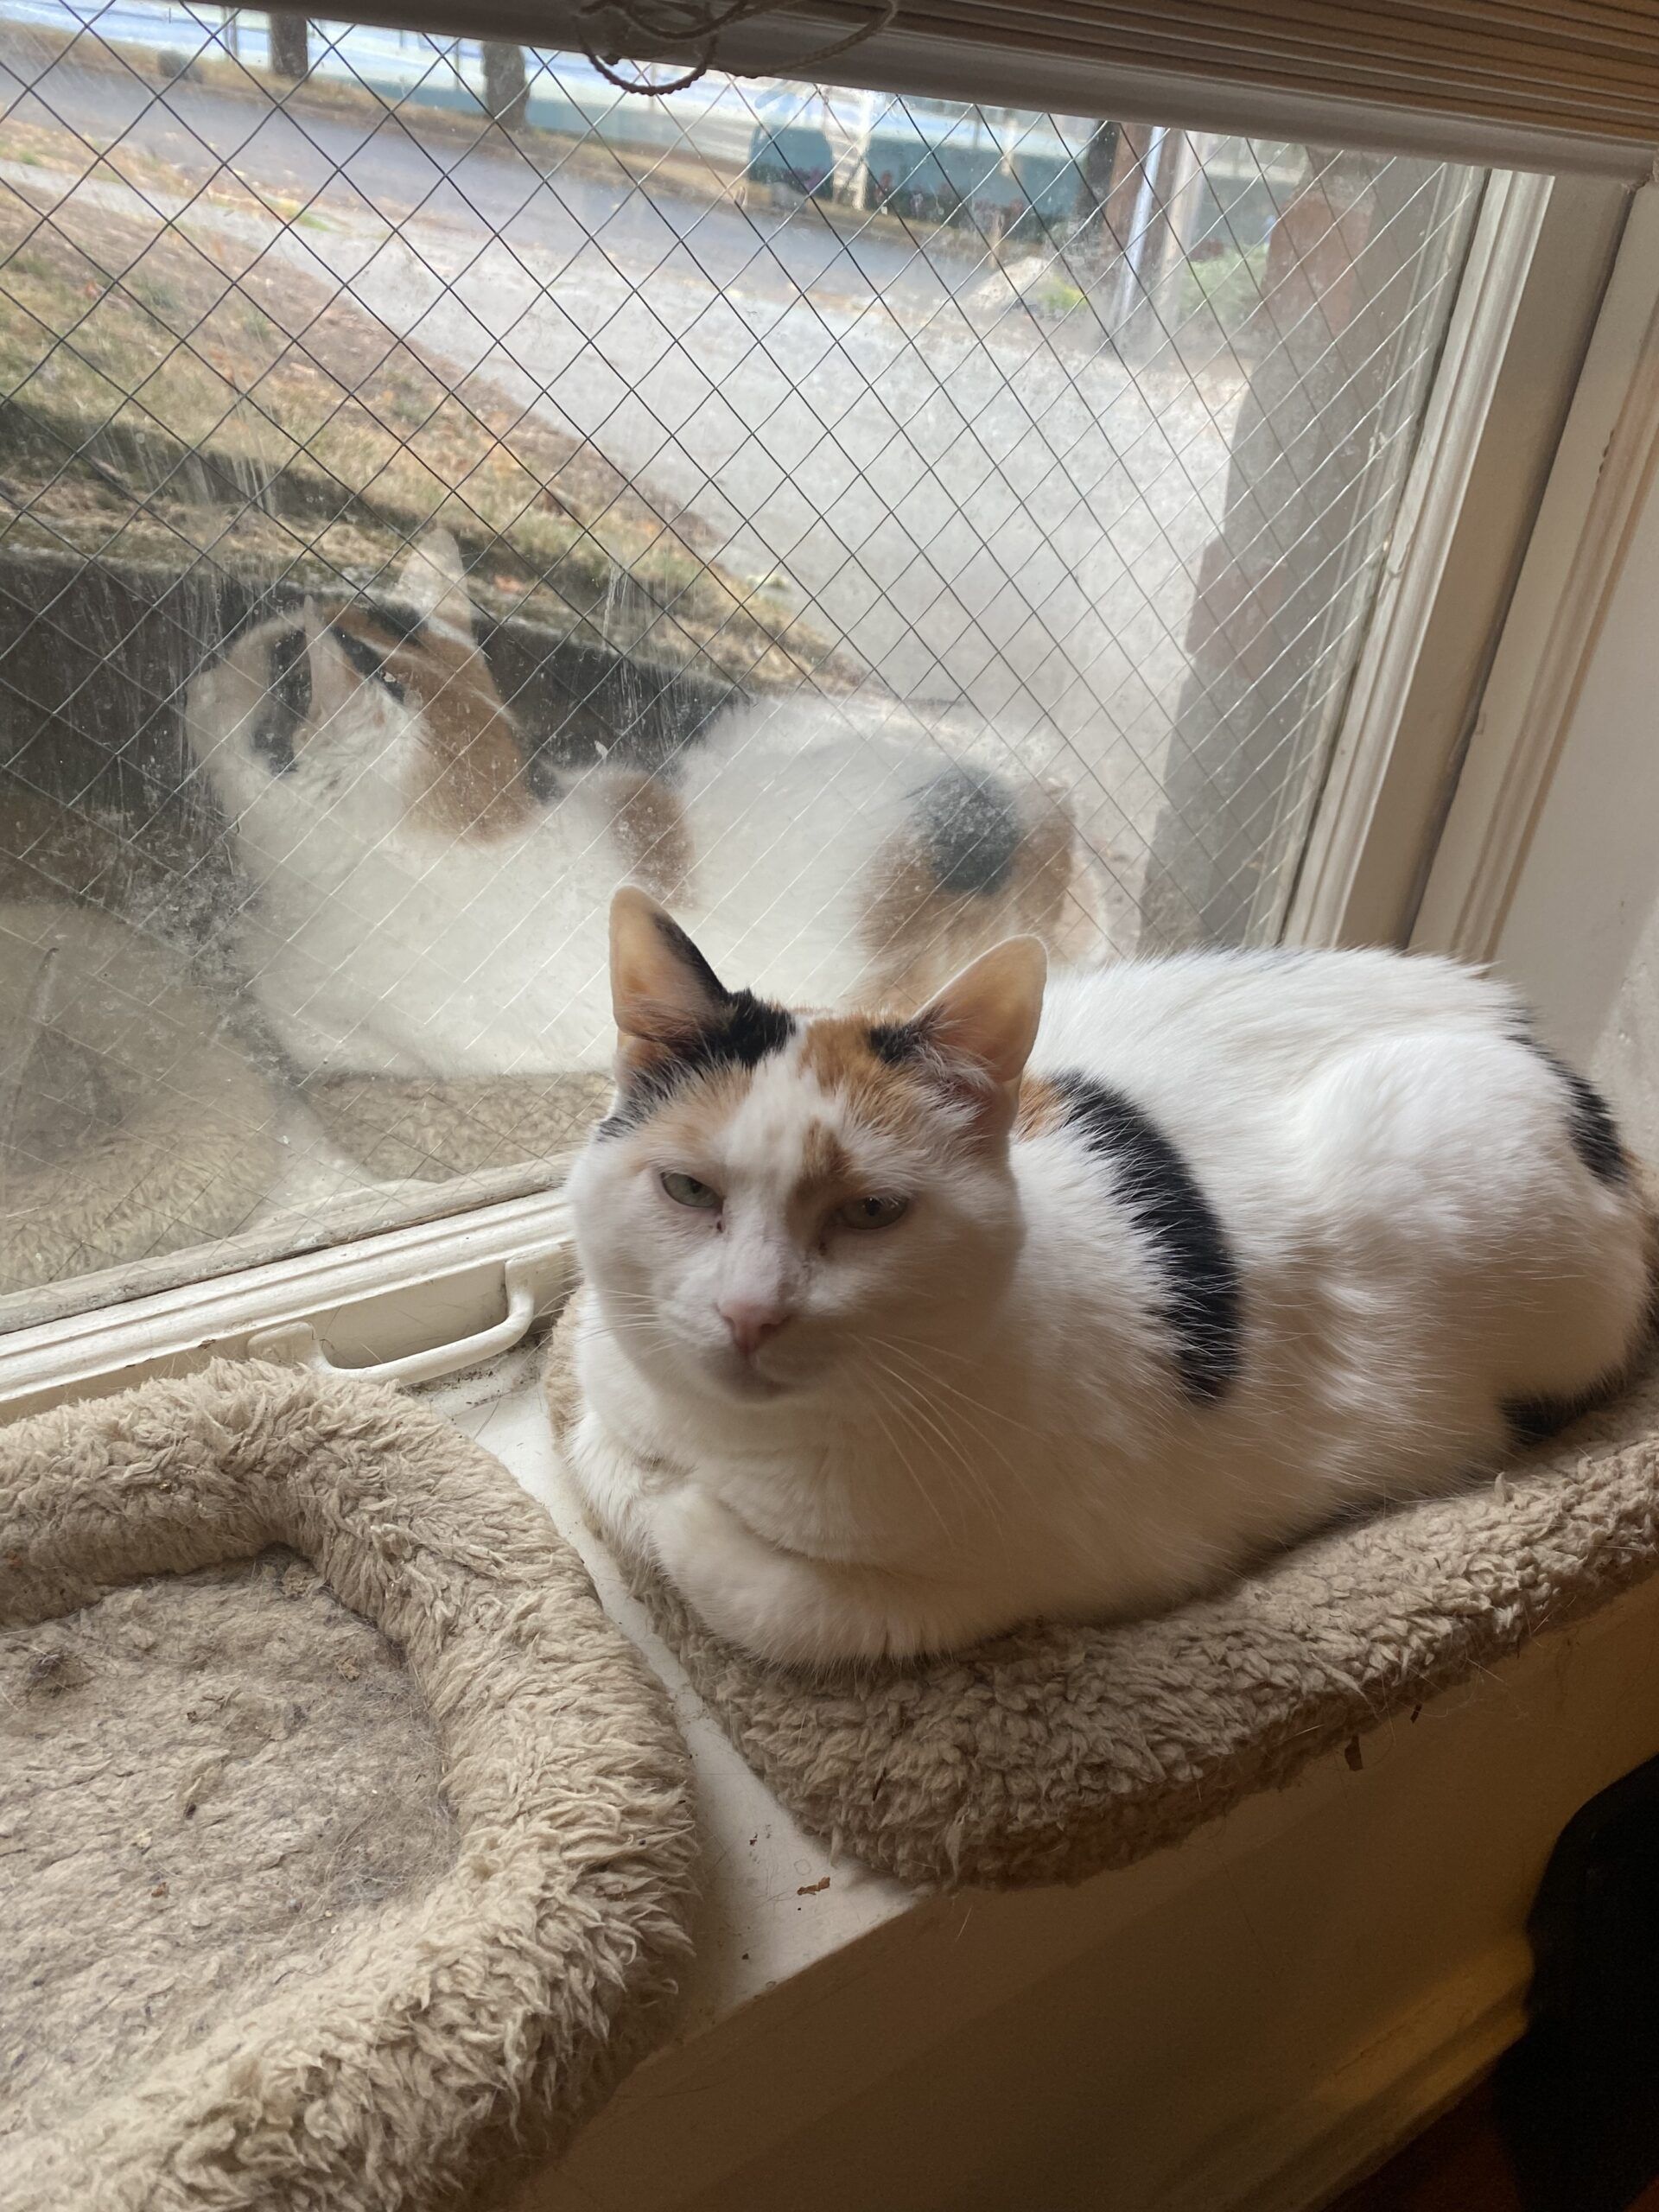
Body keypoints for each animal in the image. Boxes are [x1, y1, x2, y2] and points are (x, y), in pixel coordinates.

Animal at [188, 535, 1092, 1088]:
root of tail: (1045, 780)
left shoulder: (360, 1029)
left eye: (264, 653)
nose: (201, 667)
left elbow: (288, 1015)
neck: (500, 823)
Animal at [566, 889, 1654, 1663]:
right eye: (687, 1187)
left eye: (871, 1213)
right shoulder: (605, 1374)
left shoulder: (1041, 1572)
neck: (732, 1440)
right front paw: (651, 1479)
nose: (749, 1313)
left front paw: (684, 1512)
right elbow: (599, 1452)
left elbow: (764, 1591)